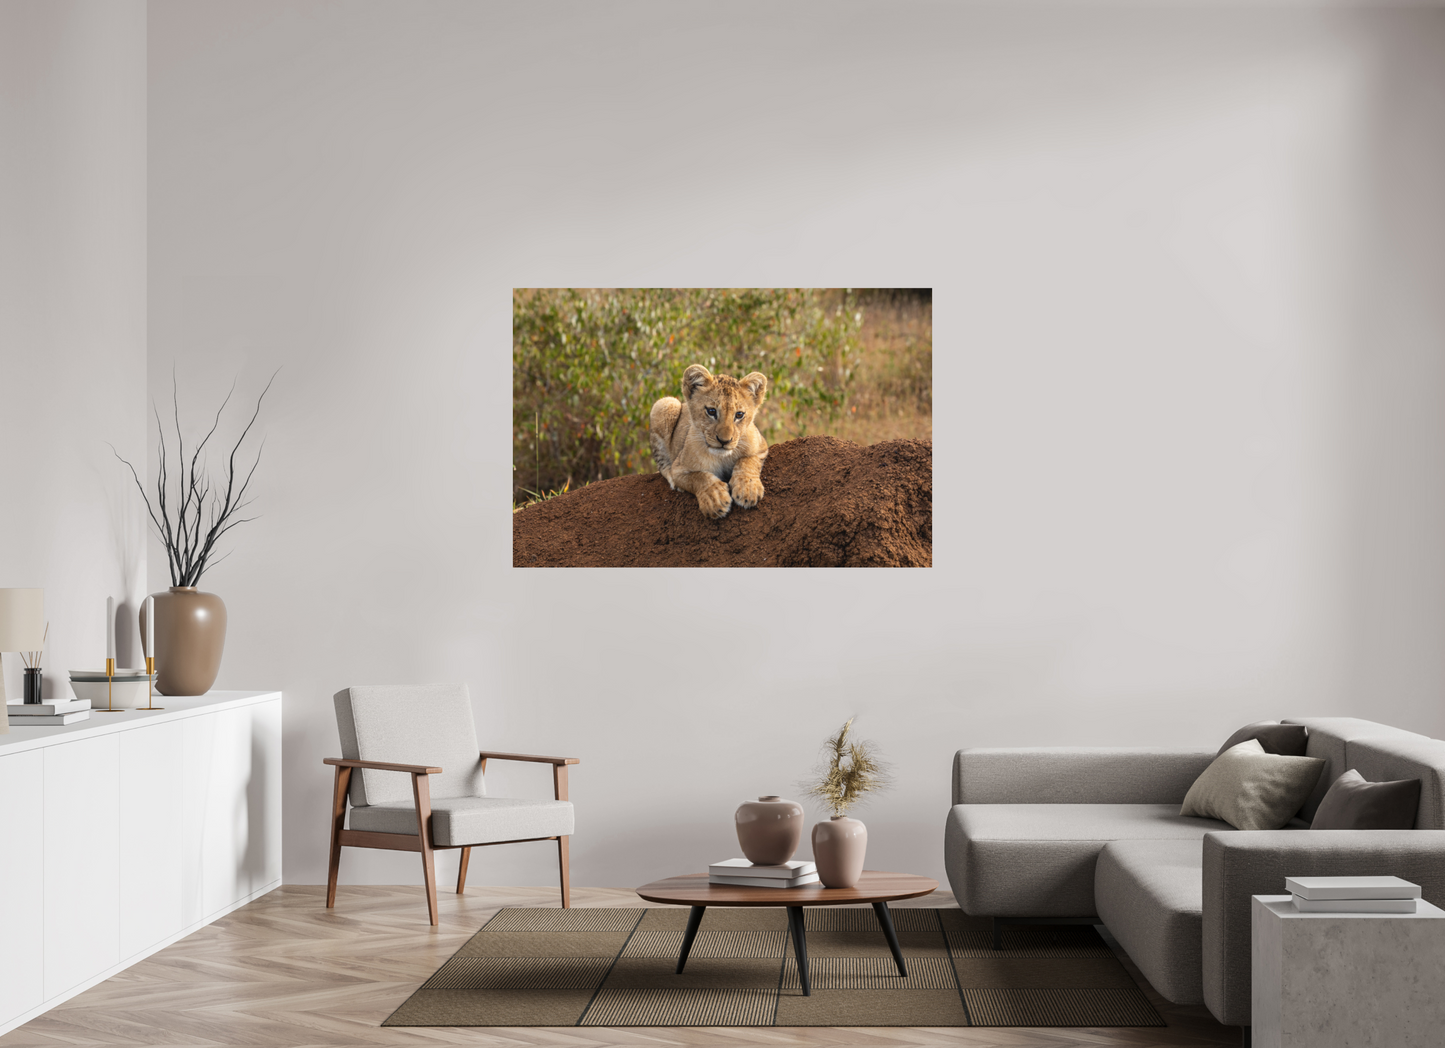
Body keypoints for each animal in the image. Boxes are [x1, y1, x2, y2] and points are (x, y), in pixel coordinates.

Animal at [649, 364, 769, 519]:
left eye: (739, 414)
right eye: (711, 411)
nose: (724, 441)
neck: (722, 457)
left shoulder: (761, 446)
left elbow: (747, 461)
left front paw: (747, 489)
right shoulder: (679, 469)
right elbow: (699, 477)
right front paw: (715, 498)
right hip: (665, 404)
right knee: (662, 463)